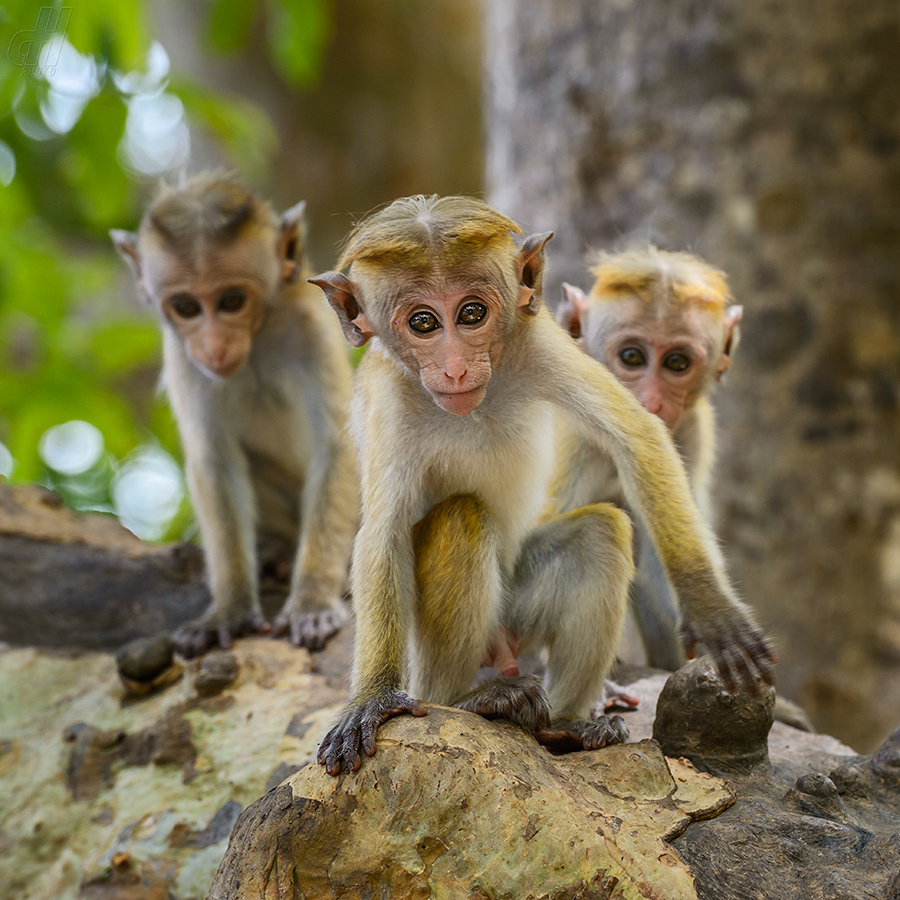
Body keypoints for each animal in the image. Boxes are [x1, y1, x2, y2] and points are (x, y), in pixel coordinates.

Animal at [109, 174, 356, 652]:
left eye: (231, 301)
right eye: (187, 308)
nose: (214, 347)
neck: (259, 336)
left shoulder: (312, 330)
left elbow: (337, 447)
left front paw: (313, 600)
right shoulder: (183, 358)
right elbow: (215, 461)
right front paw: (230, 609)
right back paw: (276, 551)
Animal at [556, 246, 744, 684]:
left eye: (677, 363)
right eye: (632, 357)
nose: (651, 402)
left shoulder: (693, 427)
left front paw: (703, 600)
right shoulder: (577, 433)